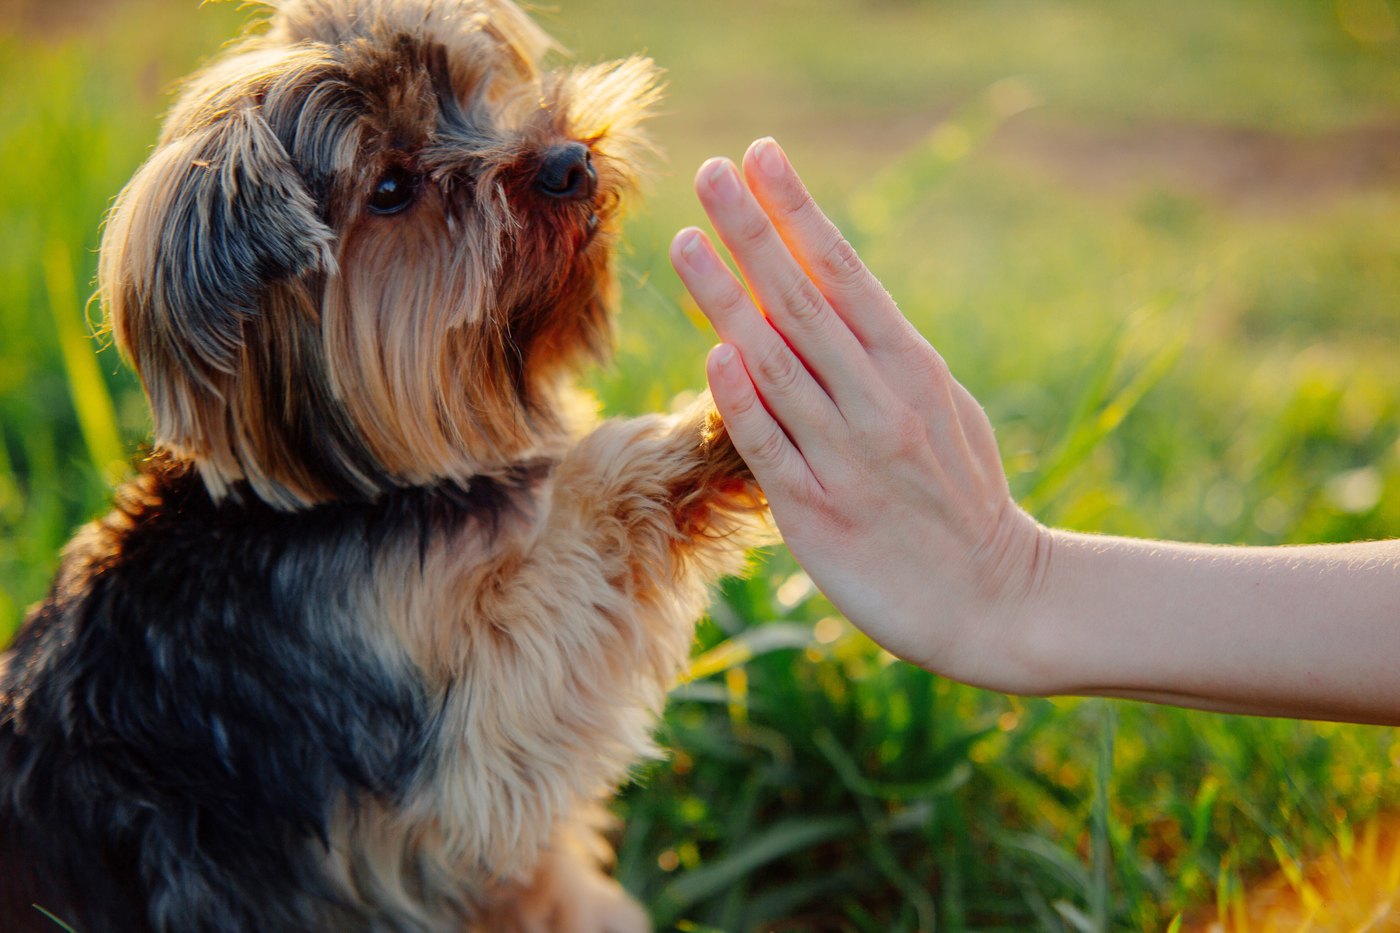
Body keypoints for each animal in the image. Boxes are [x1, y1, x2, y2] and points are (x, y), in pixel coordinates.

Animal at [0, 3, 767, 924]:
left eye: (472, 93)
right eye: (392, 189)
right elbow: (567, 562)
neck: (352, 491)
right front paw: (722, 424)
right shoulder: (452, 742)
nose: (569, 161)